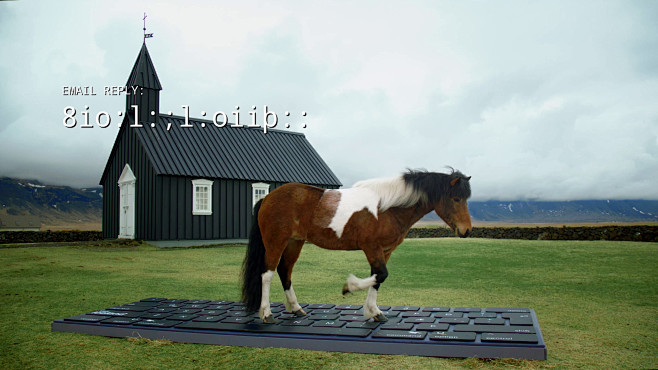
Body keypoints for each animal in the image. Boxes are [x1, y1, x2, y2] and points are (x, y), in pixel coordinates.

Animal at [241, 169, 472, 322]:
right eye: (456, 198)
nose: (467, 230)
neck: (386, 208)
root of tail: (268, 198)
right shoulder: (371, 247)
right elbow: (381, 275)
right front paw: (349, 287)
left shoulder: (384, 251)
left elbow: (377, 278)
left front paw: (374, 311)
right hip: (276, 242)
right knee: (267, 274)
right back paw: (266, 313)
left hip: (294, 243)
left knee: (285, 271)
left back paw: (296, 308)